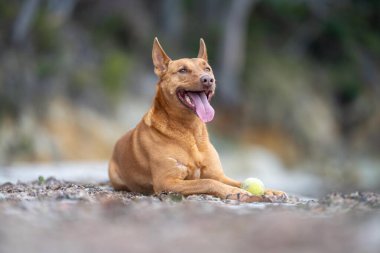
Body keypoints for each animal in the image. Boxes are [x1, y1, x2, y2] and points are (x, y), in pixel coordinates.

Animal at [108, 38, 286, 202]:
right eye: (182, 70)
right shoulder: (167, 181)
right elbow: (207, 182)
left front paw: (269, 191)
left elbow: (238, 181)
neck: (190, 131)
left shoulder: (218, 175)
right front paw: (235, 192)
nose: (208, 79)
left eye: (207, 69)